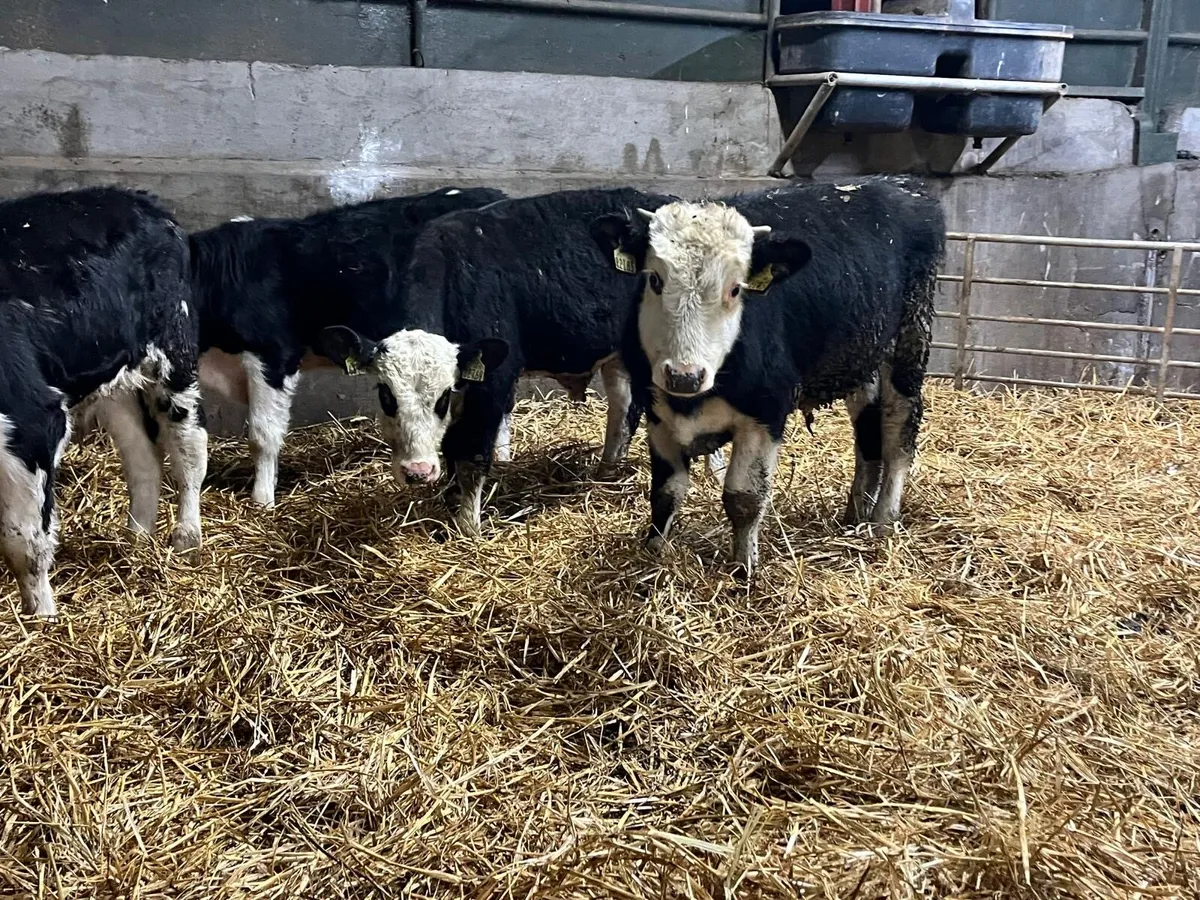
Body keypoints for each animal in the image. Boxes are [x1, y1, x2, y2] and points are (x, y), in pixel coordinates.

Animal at [0, 187, 208, 618]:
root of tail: (138, 198)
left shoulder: (32, 422)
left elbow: (23, 543)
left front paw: (42, 618)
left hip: (174, 351)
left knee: (189, 450)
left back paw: (186, 536)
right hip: (114, 380)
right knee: (144, 458)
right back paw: (136, 542)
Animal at [316, 187, 727, 537]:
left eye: (443, 397)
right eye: (386, 395)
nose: (417, 472)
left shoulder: (492, 379)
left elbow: (472, 453)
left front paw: (467, 527)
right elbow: (451, 448)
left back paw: (716, 471)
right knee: (624, 405)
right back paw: (607, 470)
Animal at [591, 179, 946, 574]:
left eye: (735, 289)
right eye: (654, 279)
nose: (685, 375)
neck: (693, 399)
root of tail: (898, 184)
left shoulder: (766, 414)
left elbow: (743, 498)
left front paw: (744, 570)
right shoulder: (657, 412)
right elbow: (665, 493)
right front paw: (654, 554)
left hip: (910, 343)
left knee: (899, 432)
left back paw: (883, 519)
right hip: (861, 356)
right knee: (868, 432)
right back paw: (855, 515)